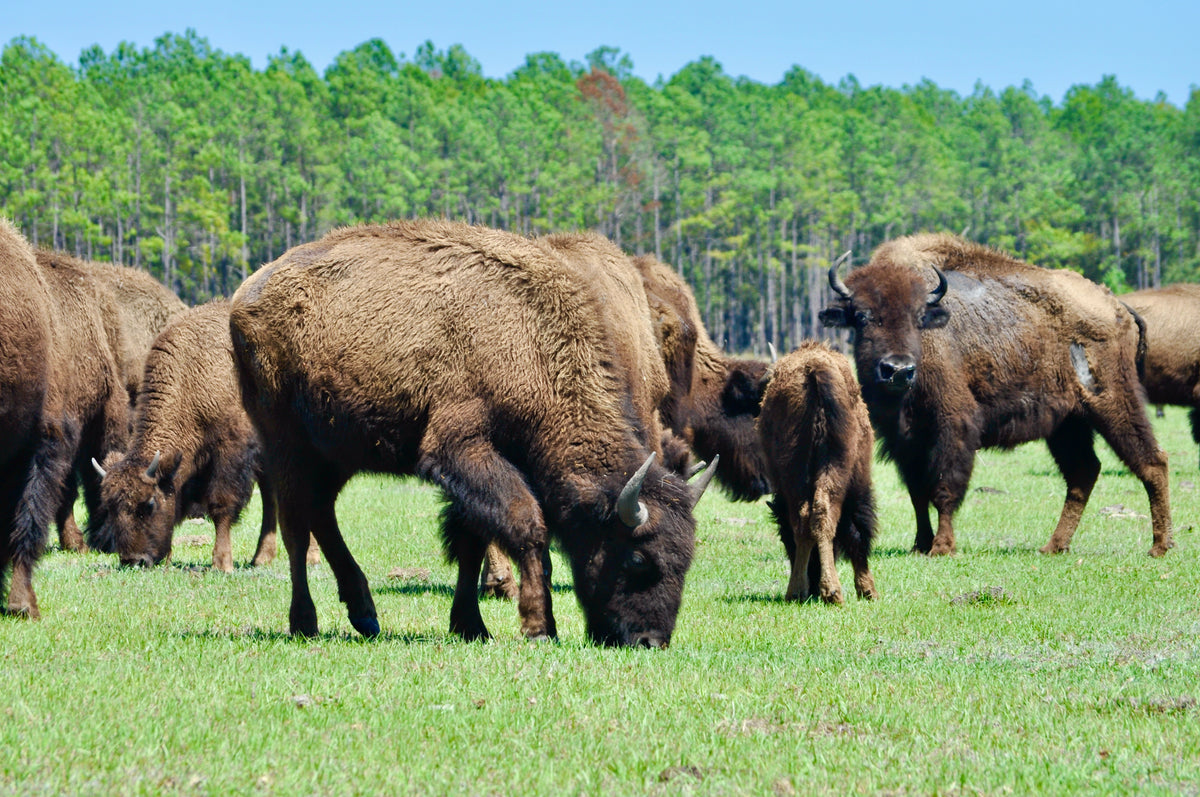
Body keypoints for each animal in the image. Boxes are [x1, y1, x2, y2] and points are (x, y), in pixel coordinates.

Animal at [89, 300, 315, 572]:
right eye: (111, 507)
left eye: (149, 504)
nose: (134, 560)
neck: (191, 380)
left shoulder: (230, 452)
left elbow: (221, 504)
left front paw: (221, 563)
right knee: (271, 498)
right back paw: (261, 557)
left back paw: (311, 557)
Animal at [228, 219, 715, 646]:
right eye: (637, 558)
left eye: (687, 562)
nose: (650, 641)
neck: (530, 341)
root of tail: (246, 294)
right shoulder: (460, 449)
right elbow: (525, 523)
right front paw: (539, 628)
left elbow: (471, 541)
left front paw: (471, 626)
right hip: (287, 442)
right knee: (297, 525)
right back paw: (305, 622)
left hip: (338, 449)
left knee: (322, 514)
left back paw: (365, 614)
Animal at [757, 341, 878, 604]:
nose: (811, 587)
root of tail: (814, 368)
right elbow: (858, 531)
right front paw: (867, 590)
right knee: (824, 516)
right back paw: (830, 591)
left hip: (795, 472)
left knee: (805, 519)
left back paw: (798, 590)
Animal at [819, 233, 1173, 557]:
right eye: (862, 317)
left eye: (919, 318)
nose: (898, 369)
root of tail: (1117, 306)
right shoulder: (903, 440)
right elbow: (917, 493)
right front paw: (920, 544)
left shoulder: (953, 428)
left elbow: (944, 488)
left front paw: (942, 547)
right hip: (1068, 424)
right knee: (1083, 472)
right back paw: (1054, 546)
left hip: (1113, 401)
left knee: (1151, 461)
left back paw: (1159, 546)